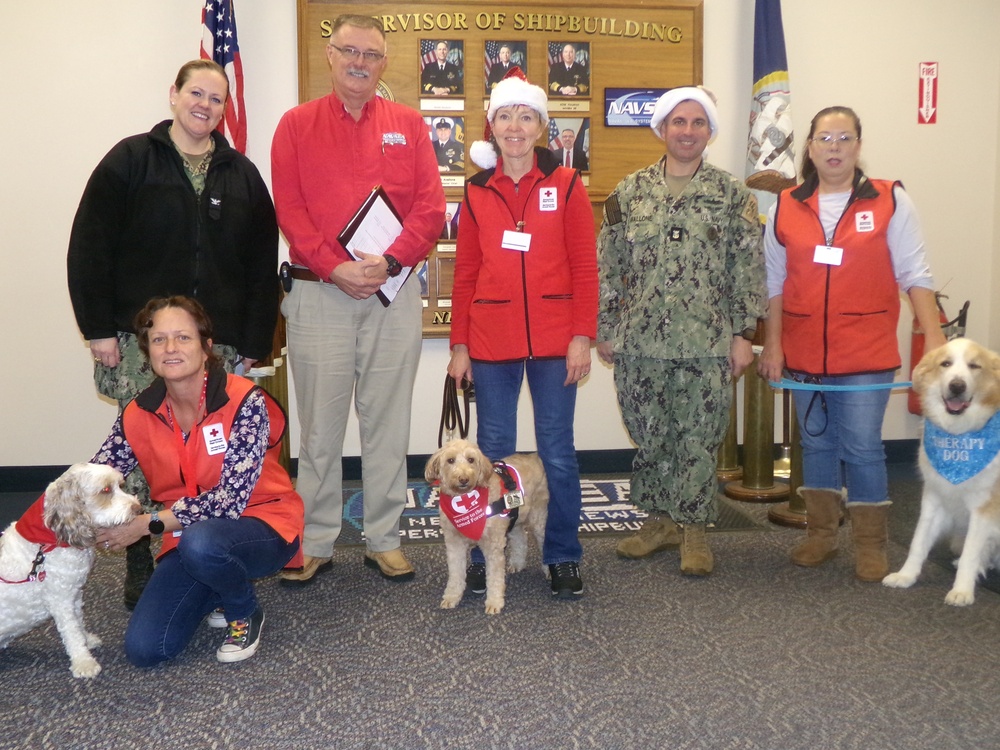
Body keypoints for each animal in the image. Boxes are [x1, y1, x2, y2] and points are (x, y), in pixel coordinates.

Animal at [0, 464, 141, 680]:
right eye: (105, 490)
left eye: (121, 485)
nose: (138, 508)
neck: (49, 540)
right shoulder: (61, 601)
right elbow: (72, 632)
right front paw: (84, 662)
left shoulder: (75, 595)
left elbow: (79, 623)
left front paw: (87, 640)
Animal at [422, 444, 548, 612]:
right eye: (450, 460)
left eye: (471, 459)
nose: (463, 479)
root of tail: (535, 456)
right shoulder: (454, 544)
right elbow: (456, 574)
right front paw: (452, 597)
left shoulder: (493, 547)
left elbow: (494, 578)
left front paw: (494, 602)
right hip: (515, 517)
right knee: (520, 537)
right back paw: (517, 563)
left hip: (538, 518)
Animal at [884, 340, 1000, 604]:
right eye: (945, 364)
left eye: (974, 366)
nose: (957, 386)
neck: (958, 436)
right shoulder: (934, 498)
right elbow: (918, 542)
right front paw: (906, 576)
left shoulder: (983, 509)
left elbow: (971, 552)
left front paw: (962, 590)